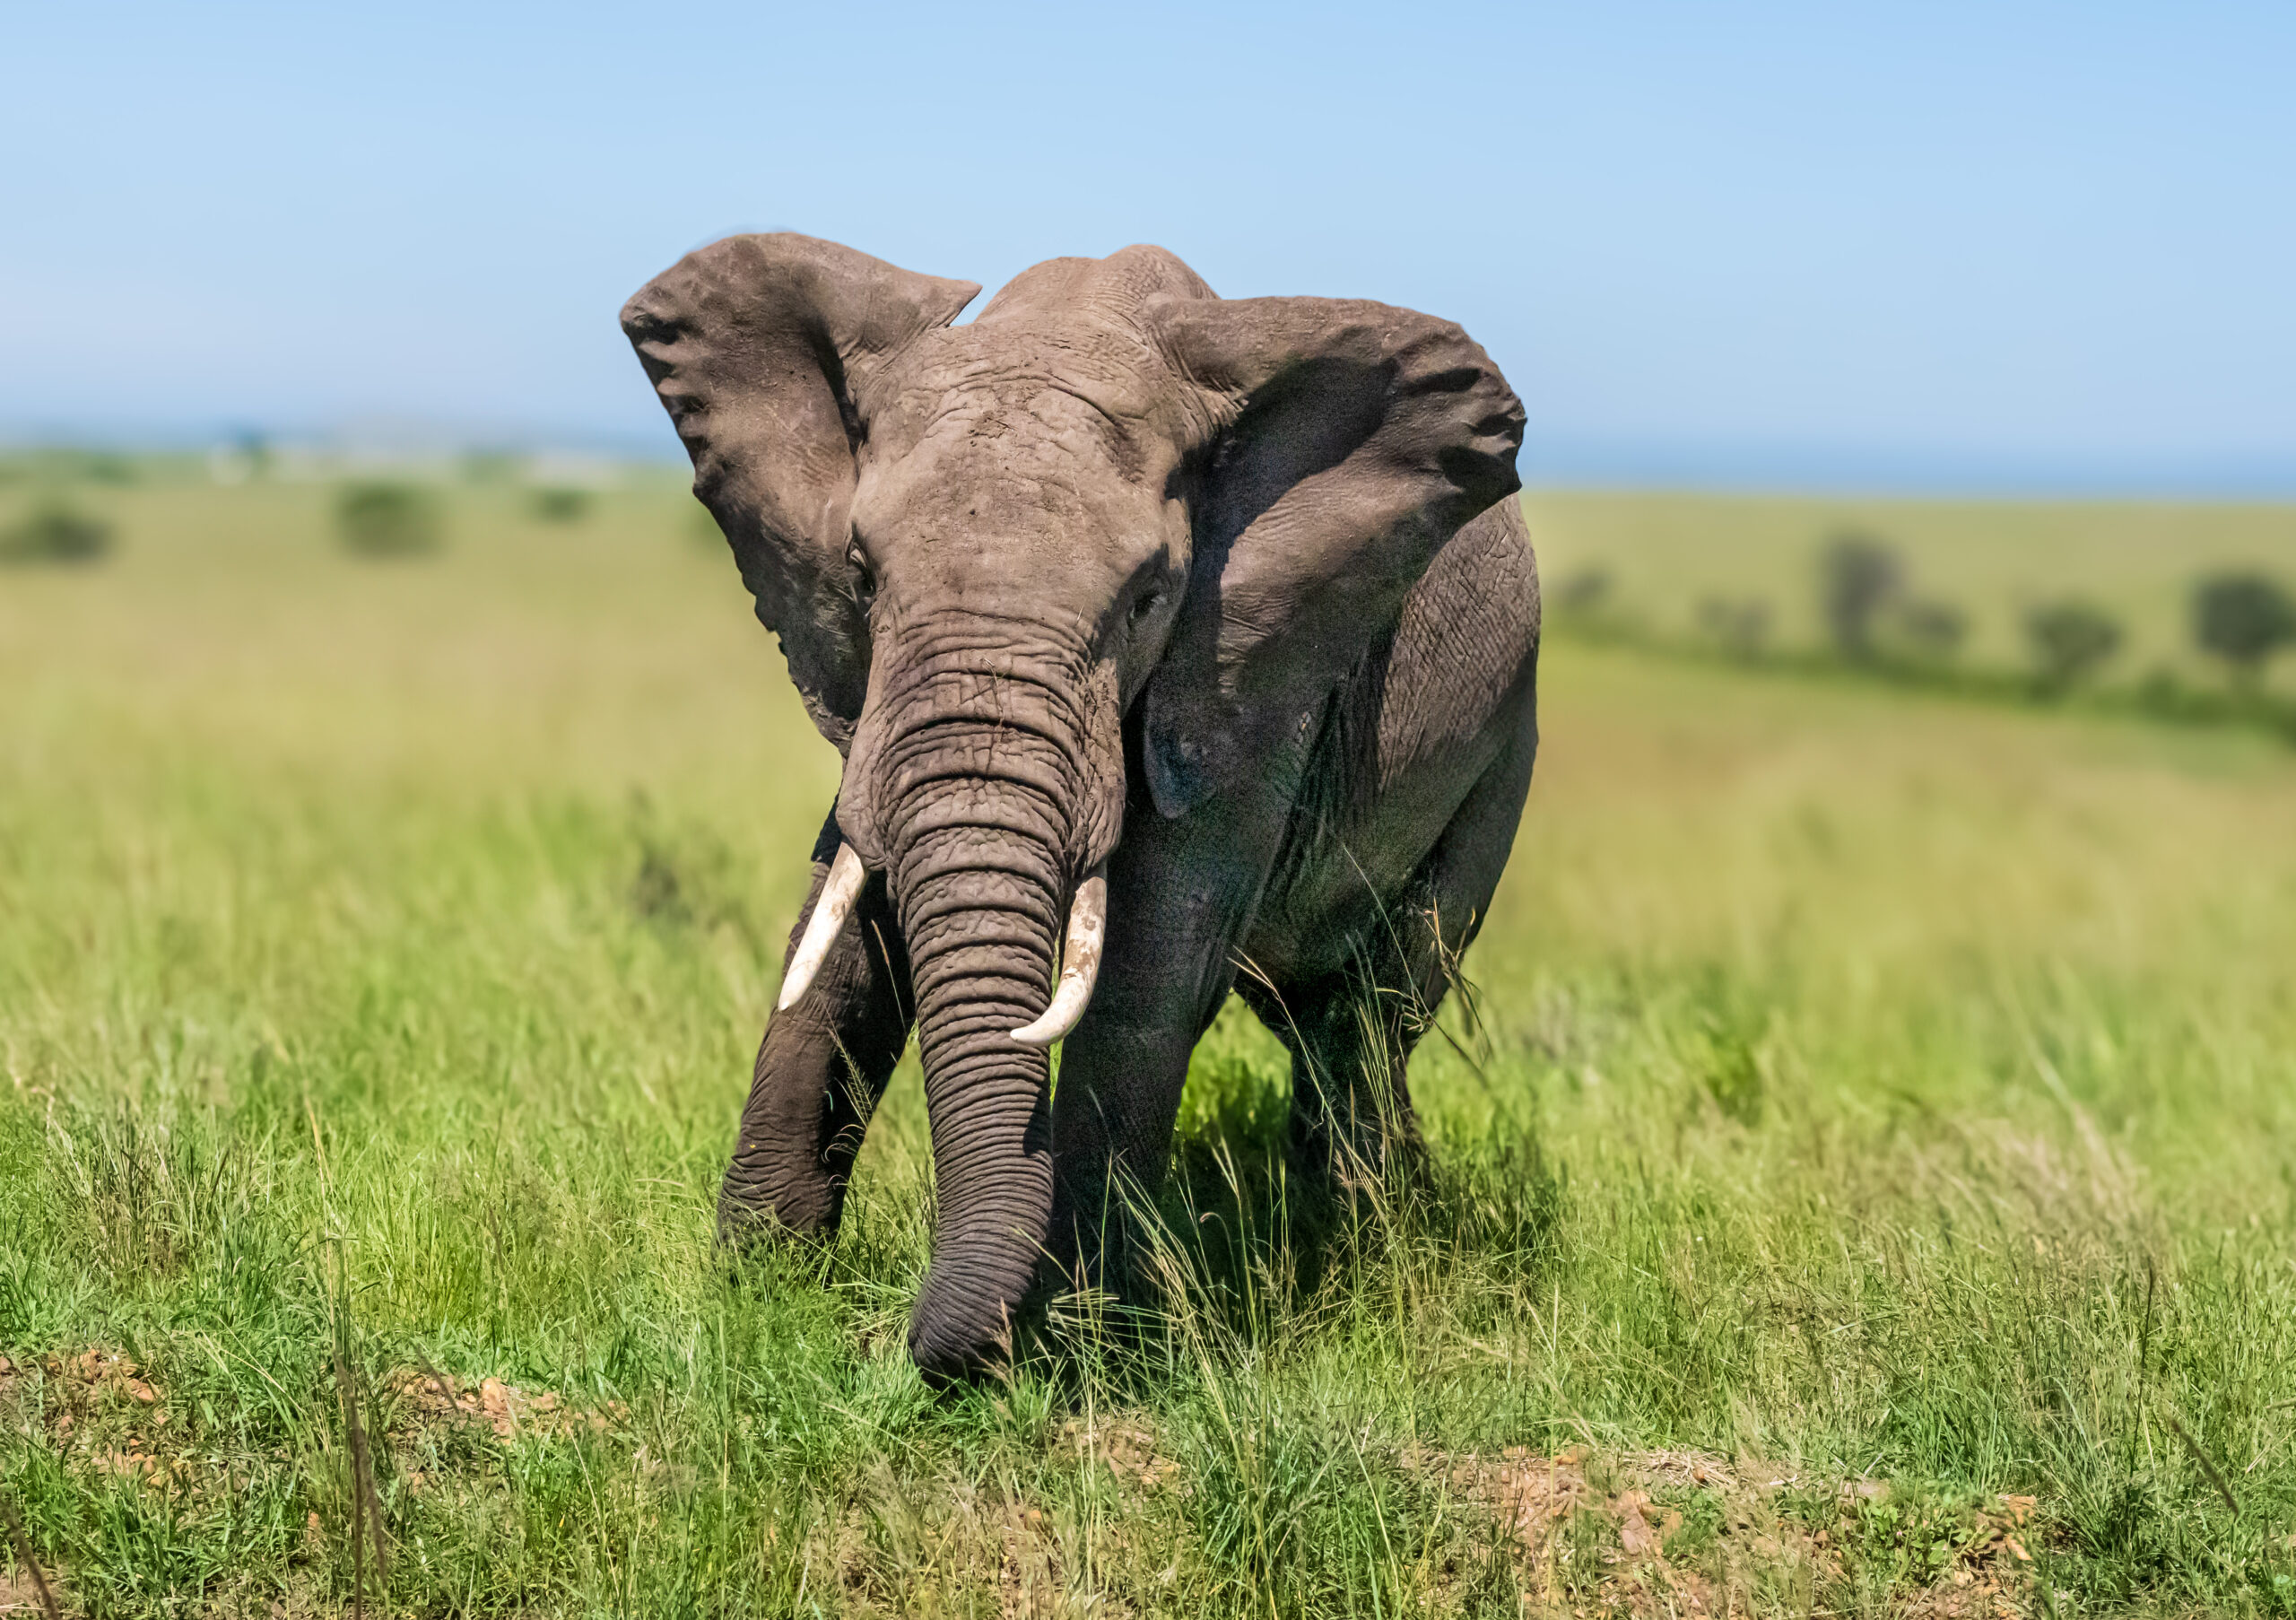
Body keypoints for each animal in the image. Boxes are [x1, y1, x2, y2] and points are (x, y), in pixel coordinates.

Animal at [622, 233, 1540, 1383]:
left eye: (1148, 597)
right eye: (862, 574)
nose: (902, 1344)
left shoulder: (1244, 679)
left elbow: (1147, 970)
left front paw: (1076, 1342)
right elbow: (842, 940)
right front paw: (762, 1285)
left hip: (1500, 760)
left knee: (1371, 1016)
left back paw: (1368, 1237)